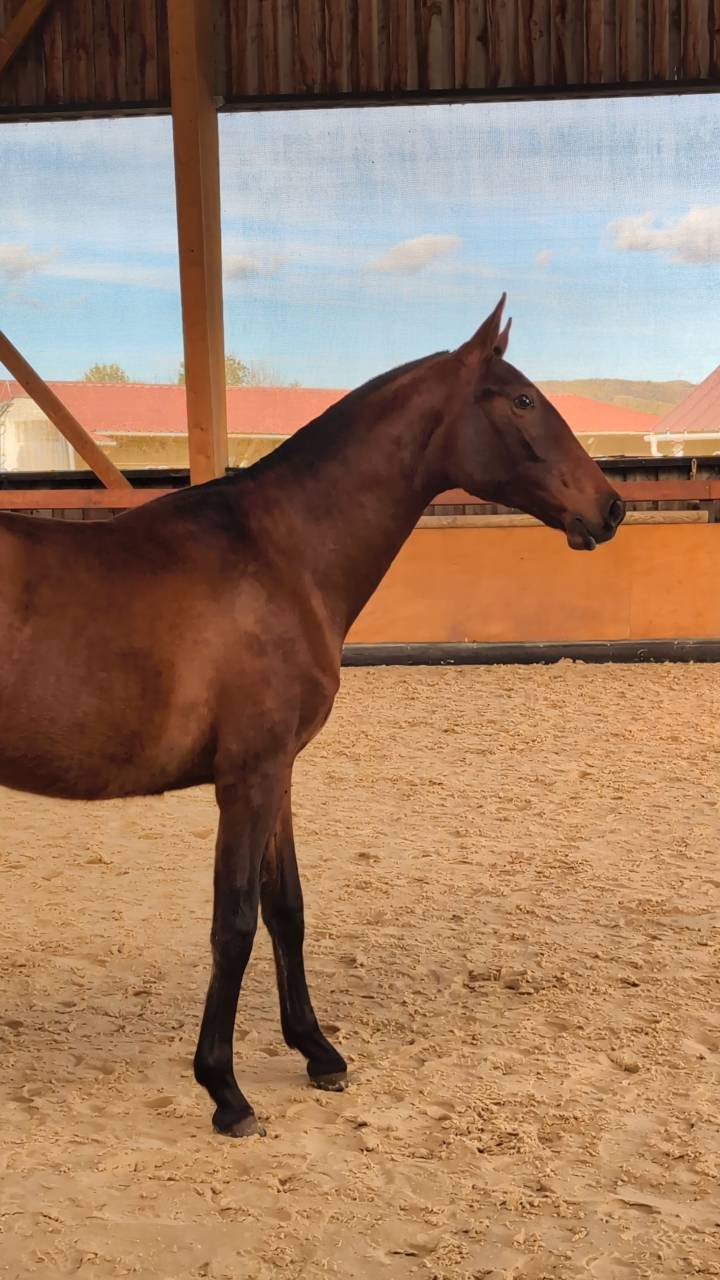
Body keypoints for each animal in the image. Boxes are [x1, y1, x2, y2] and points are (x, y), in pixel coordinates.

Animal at [0, 296, 624, 1137]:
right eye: (522, 400)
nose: (610, 506)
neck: (281, 552)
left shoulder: (280, 775)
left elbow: (285, 908)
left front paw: (316, 1051)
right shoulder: (248, 778)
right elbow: (233, 923)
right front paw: (225, 1090)